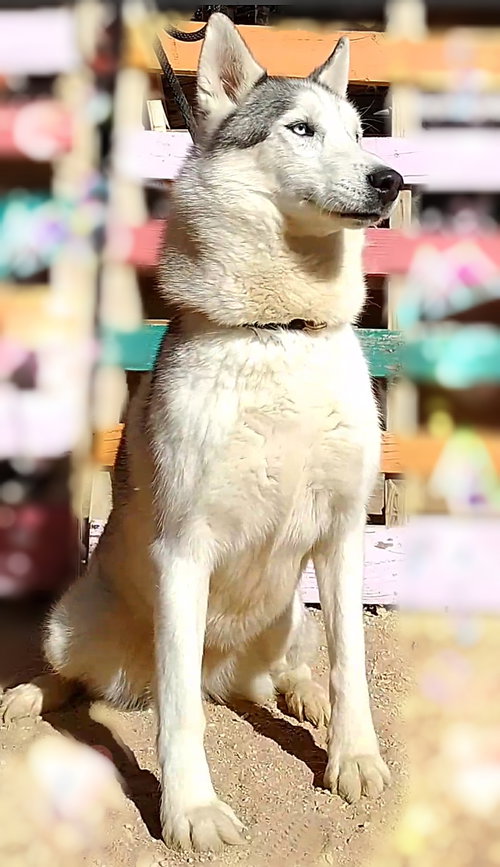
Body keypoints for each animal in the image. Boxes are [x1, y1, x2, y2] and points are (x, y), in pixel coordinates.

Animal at [1, 13, 402, 853]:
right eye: (300, 129)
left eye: (359, 133)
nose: (390, 179)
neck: (282, 331)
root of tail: (232, 673)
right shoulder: (184, 551)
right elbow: (180, 711)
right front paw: (191, 808)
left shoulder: (344, 534)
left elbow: (351, 663)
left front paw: (353, 755)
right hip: (78, 622)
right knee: (86, 675)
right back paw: (30, 692)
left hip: (289, 613)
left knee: (290, 665)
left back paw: (302, 692)